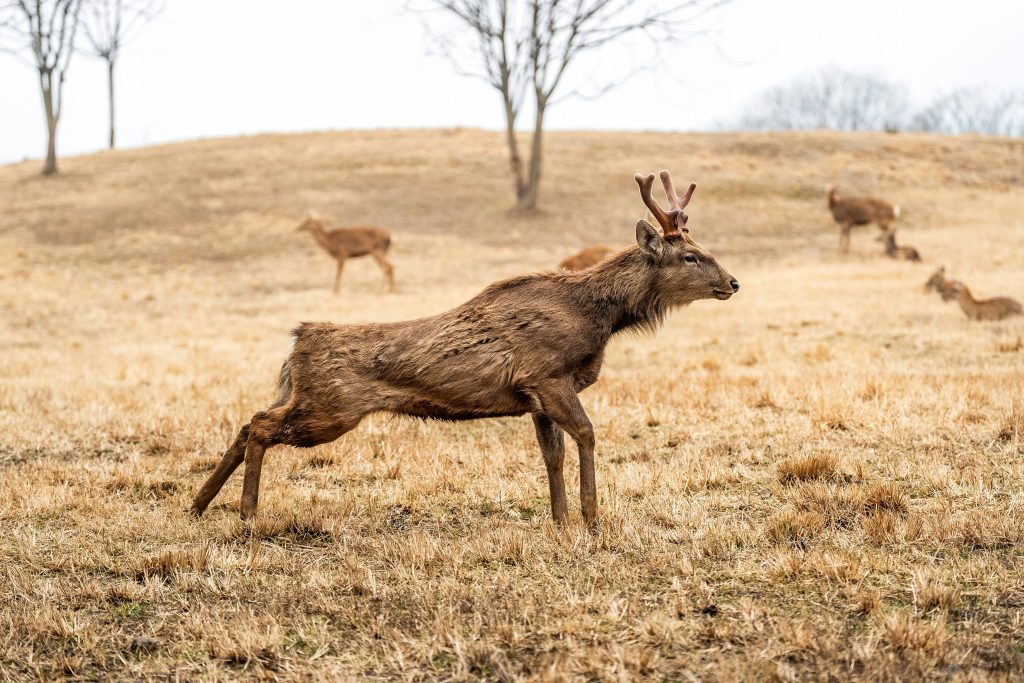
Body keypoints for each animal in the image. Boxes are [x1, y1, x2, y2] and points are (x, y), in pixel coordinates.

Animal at [190, 169, 737, 524]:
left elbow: (552, 456)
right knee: (260, 425)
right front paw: (592, 517)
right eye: (690, 256)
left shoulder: (535, 396)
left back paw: (198, 505)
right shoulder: (548, 375)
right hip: (331, 408)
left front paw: (560, 521)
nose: (732, 282)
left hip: (306, 398)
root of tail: (297, 341)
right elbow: (585, 435)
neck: (596, 318)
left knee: (250, 420)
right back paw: (246, 512)